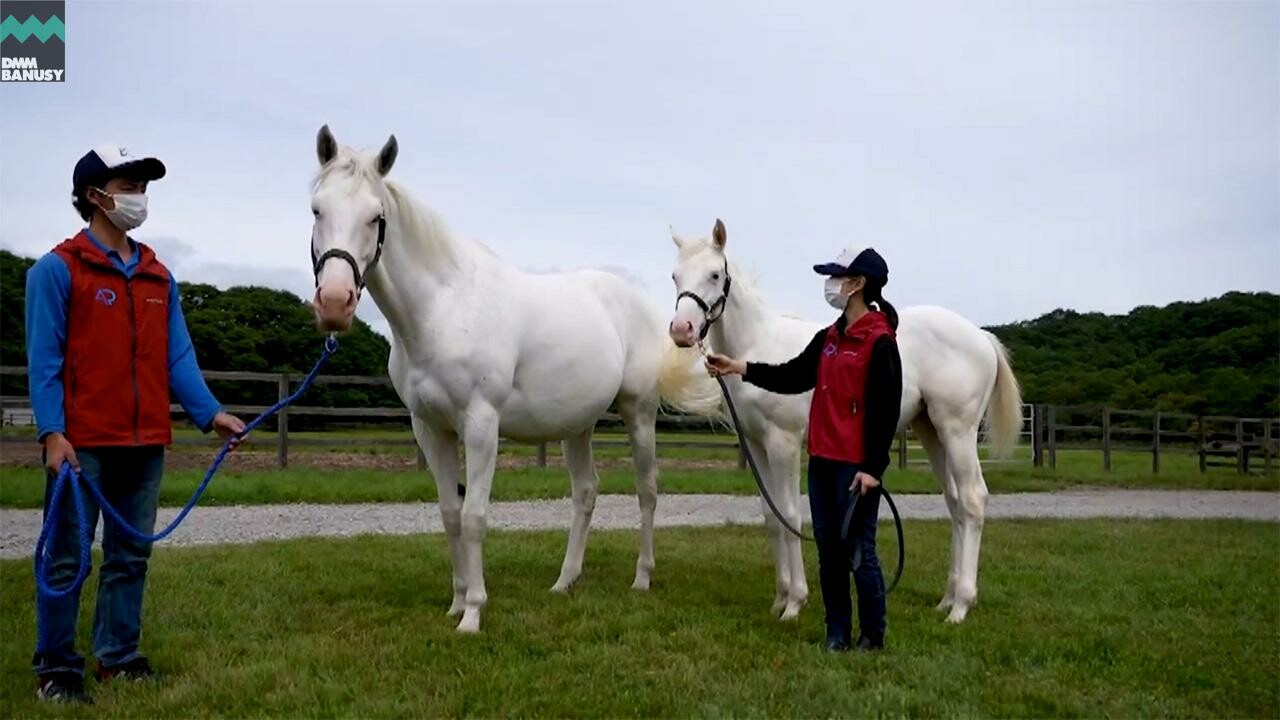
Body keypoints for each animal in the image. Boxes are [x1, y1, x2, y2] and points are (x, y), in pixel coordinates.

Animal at [303, 126, 716, 630]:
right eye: (317, 209)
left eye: (375, 217)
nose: (335, 302)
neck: (443, 308)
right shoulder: (429, 428)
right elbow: (450, 513)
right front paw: (457, 600)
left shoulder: (481, 424)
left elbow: (475, 515)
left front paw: (473, 614)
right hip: (577, 426)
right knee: (585, 492)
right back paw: (565, 581)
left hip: (638, 414)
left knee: (647, 490)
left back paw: (642, 577)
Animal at [670, 219, 1018, 622]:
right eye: (675, 276)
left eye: (714, 274)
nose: (681, 330)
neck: (760, 343)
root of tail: (981, 337)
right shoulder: (756, 445)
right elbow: (772, 517)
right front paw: (779, 599)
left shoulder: (783, 442)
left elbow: (791, 514)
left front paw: (795, 603)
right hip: (932, 432)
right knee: (956, 502)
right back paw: (947, 599)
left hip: (958, 431)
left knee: (974, 500)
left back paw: (961, 606)